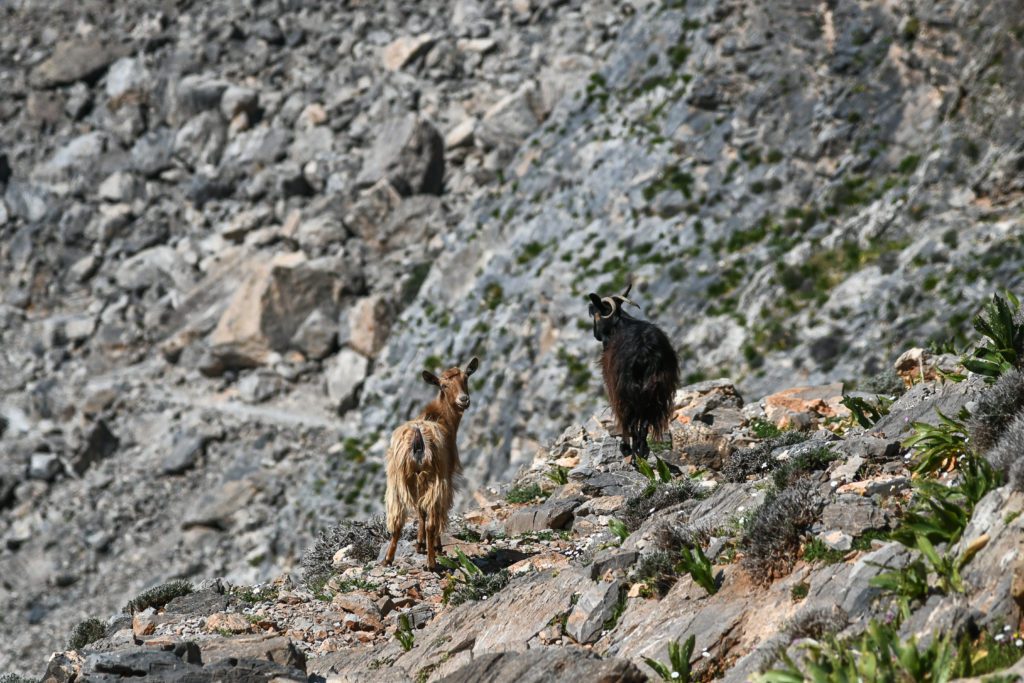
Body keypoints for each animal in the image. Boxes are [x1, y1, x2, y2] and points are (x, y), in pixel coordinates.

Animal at [385, 358, 479, 573]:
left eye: (466, 378)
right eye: (443, 385)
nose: (464, 400)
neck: (440, 418)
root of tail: (418, 438)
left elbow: (420, 512)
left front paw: (419, 545)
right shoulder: (446, 476)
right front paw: (435, 546)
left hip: (398, 480)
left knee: (397, 520)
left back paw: (388, 559)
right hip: (436, 478)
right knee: (432, 520)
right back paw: (431, 562)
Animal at [589, 282, 675, 458]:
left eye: (595, 314)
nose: (595, 334)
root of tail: (646, 349)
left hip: (626, 388)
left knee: (629, 418)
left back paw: (629, 450)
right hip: (656, 388)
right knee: (645, 421)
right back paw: (642, 450)